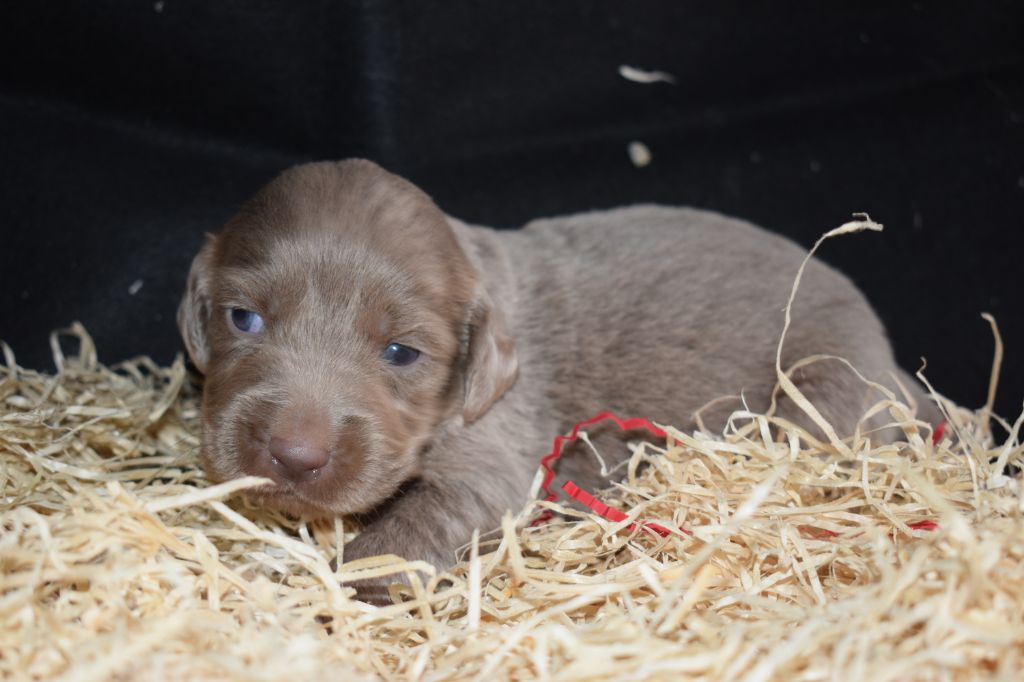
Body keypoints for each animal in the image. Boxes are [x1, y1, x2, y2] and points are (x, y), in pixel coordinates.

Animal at [178, 159, 937, 600]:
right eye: (243, 318)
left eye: (401, 353)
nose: (293, 455)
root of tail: (890, 362)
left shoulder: (498, 447)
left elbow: (427, 515)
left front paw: (359, 576)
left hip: (823, 390)